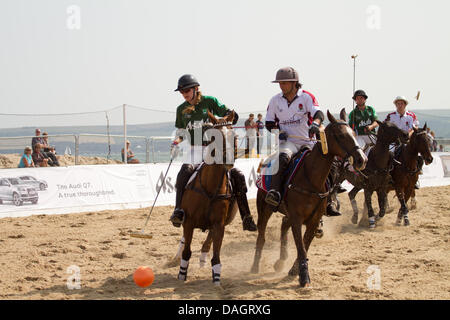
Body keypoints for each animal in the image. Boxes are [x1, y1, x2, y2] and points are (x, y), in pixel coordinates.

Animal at [176, 110, 239, 284]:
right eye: (213, 137)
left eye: (234, 135)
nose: (227, 159)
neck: (210, 188)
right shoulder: (189, 222)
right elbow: (187, 251)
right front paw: (181, 275)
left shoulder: (219, 224)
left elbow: (216, 255)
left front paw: (216, 280)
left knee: (207, 242)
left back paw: (203, 259)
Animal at [251, 110, 368, 288]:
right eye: (341, 136)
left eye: (354, 134)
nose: (362, 159)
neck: (311, 179)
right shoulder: (297, 218)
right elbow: (301, 246)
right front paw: (304, 276)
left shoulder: (313, 220)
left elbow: (305, 245)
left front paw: (295, 270)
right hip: (264, 207)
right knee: (261, 236)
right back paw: (255, 266)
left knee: (283, 225)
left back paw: (280, 261)